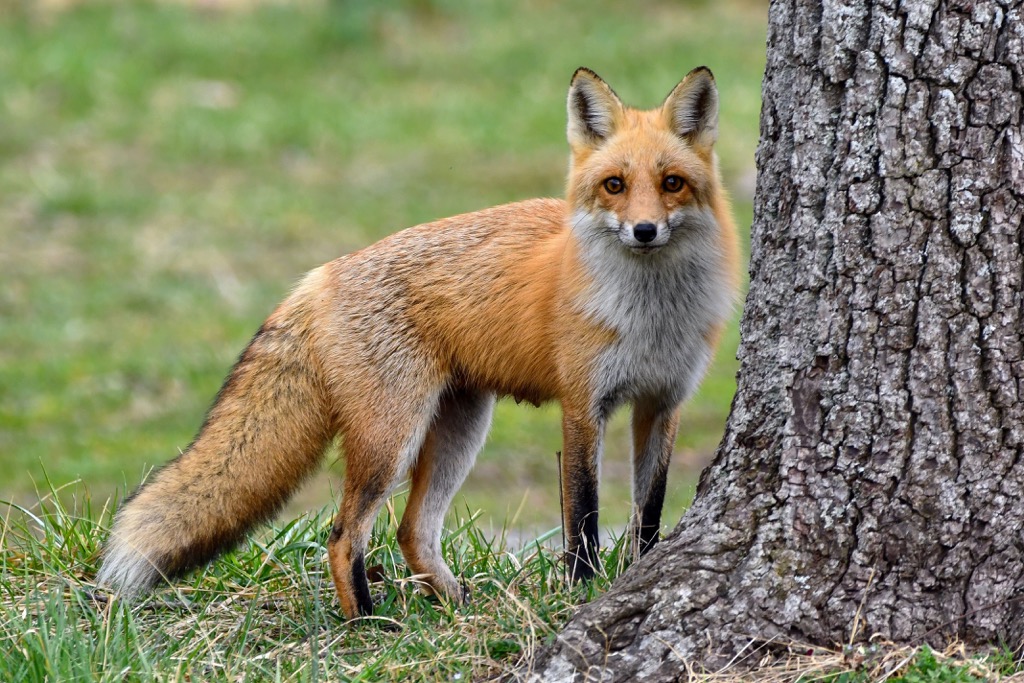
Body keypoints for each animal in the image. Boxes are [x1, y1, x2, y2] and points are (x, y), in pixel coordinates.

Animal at [97, 66, 740, 619]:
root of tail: (320, 275)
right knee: (343, 535)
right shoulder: (584, 405)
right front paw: (583, 589)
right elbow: (582, 515)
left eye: (672, 184)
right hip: (392, 437)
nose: (644, 230)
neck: (651, 318)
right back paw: (367, 624)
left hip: (461, 427)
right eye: (614, 186)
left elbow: (649, 511)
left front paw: (646, 570)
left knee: (411, 531)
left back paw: (455, 607)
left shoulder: (662, 402)